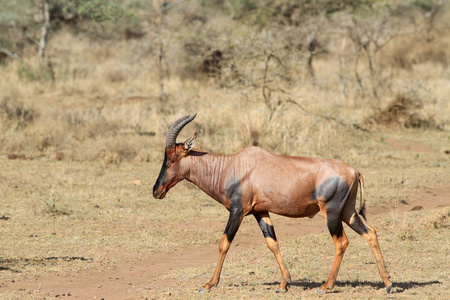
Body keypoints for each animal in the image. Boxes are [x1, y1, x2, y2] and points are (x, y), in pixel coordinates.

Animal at [153, 113, 392, 292]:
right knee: (370, 233)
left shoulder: (237, 211)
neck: (233, 165)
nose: (156, 191)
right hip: (348, 211)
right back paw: (388, 282)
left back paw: (327, 286)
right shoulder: (261, 212)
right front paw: (284, 283)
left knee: (341, 242)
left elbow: (224, 243)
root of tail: (354, 170)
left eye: (171, 159)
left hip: (332, 212)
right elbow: (272, 243)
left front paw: (209, 284)